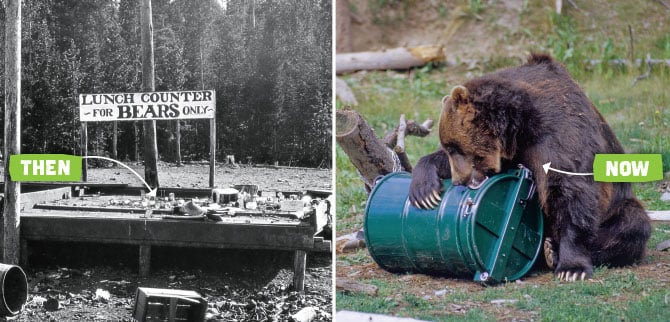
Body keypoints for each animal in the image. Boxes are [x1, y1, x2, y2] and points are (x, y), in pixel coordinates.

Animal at [412, 53, 652, 282]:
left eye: (454, 147)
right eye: (447, 147)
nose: (458, 181)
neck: (519, 129)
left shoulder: (558, 134)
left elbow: (571, 191)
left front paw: (572, 268)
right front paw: (424, 190)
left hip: (616, 206)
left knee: (632, 224)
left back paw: (553, 249)